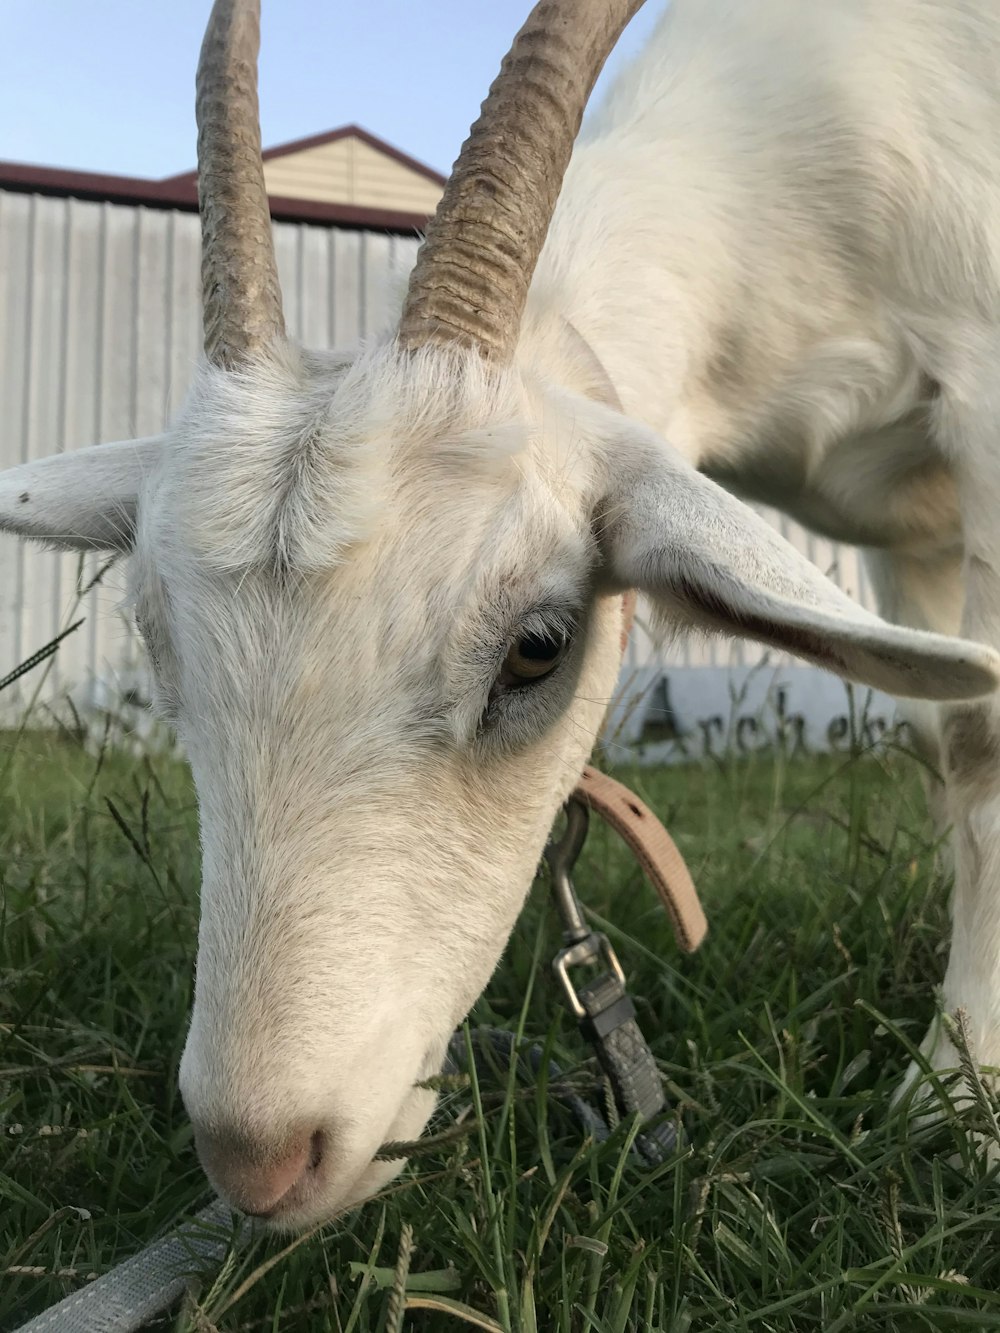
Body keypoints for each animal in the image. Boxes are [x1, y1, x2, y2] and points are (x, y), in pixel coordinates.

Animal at [1, 0, 1000, 1226]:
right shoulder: (902, 542)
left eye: (538, 647)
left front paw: (956, 1096)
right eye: (155, 638)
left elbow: (982, 743)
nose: (261, 1158)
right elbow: (940, 741)